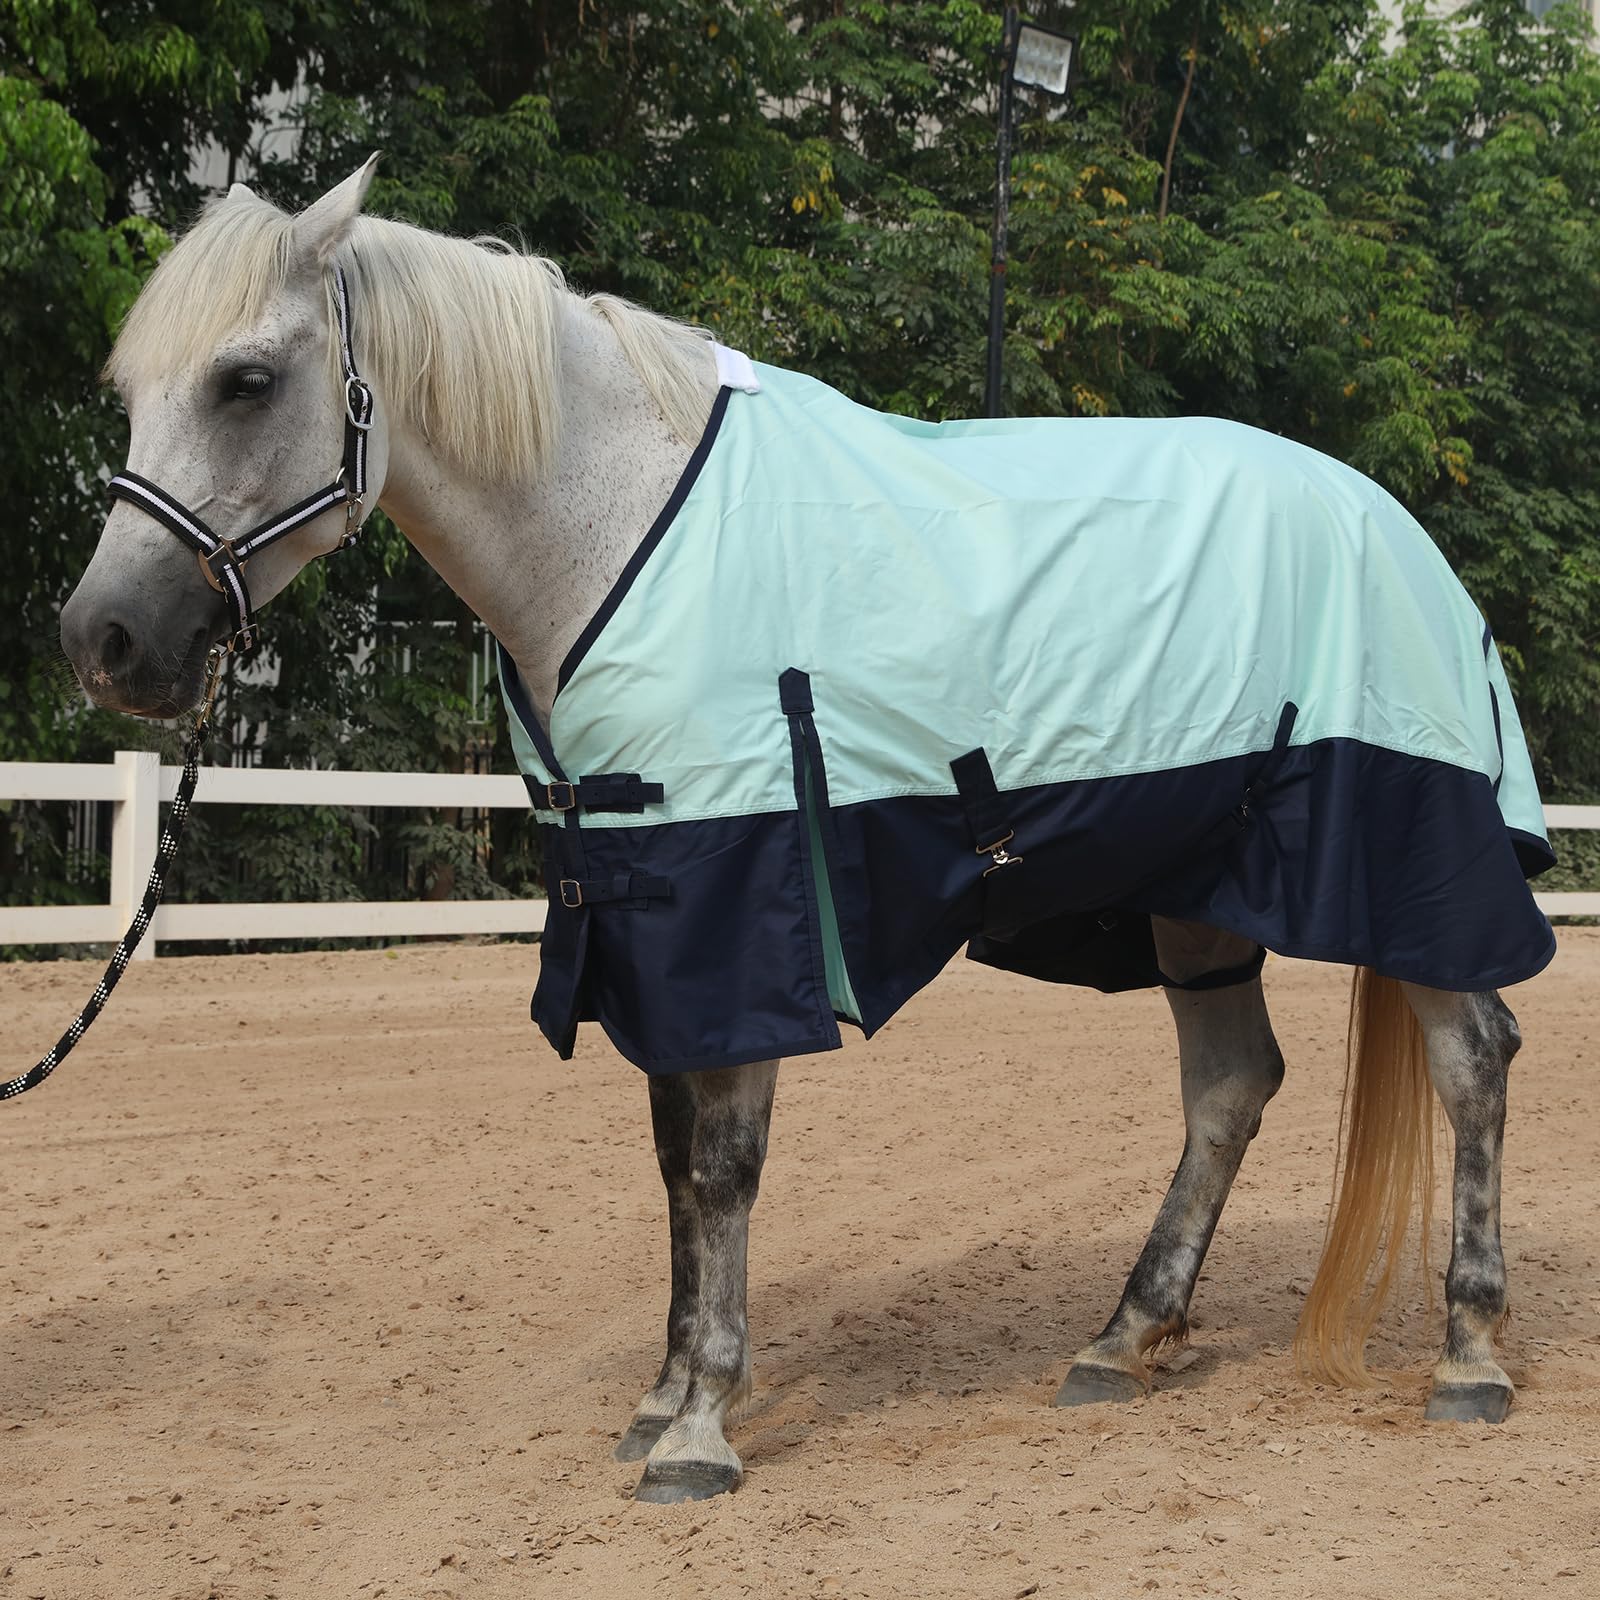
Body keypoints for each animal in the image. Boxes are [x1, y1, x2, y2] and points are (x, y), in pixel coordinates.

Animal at [59, 162, 1553, 1505]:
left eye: (246, 380)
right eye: (132, 395)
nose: (106, 640)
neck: (609, 528)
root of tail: (1398, 528)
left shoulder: (741, 891)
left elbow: (724, 1166)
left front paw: (700, 1429)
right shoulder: (641, 907)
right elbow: (673, 1155)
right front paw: (662, 1392)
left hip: (1404, 861)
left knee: (1472, 1057)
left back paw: (1469, 1354)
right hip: (1191, 887)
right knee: (1231, 1085)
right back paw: (1123, 1339)